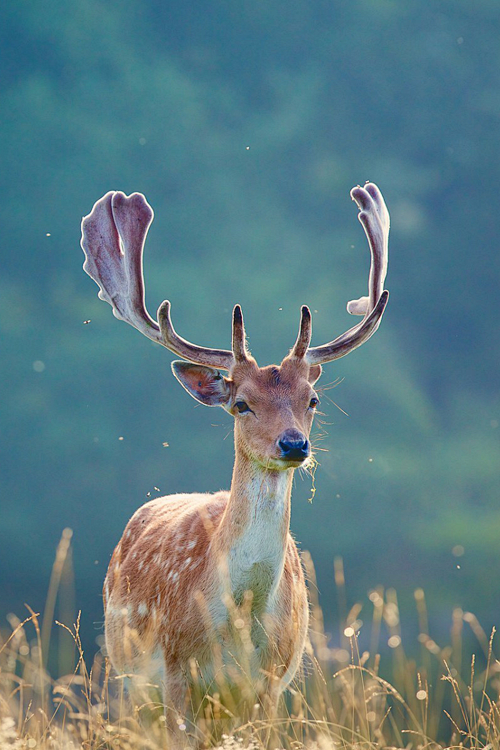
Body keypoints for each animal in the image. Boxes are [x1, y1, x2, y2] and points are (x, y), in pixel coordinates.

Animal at [80, 181, 390, 740]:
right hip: (127, 678)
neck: (239, 625)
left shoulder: (269, 685)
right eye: (242, 403)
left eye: (312, 399)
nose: (294, 445)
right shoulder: (176, 675)